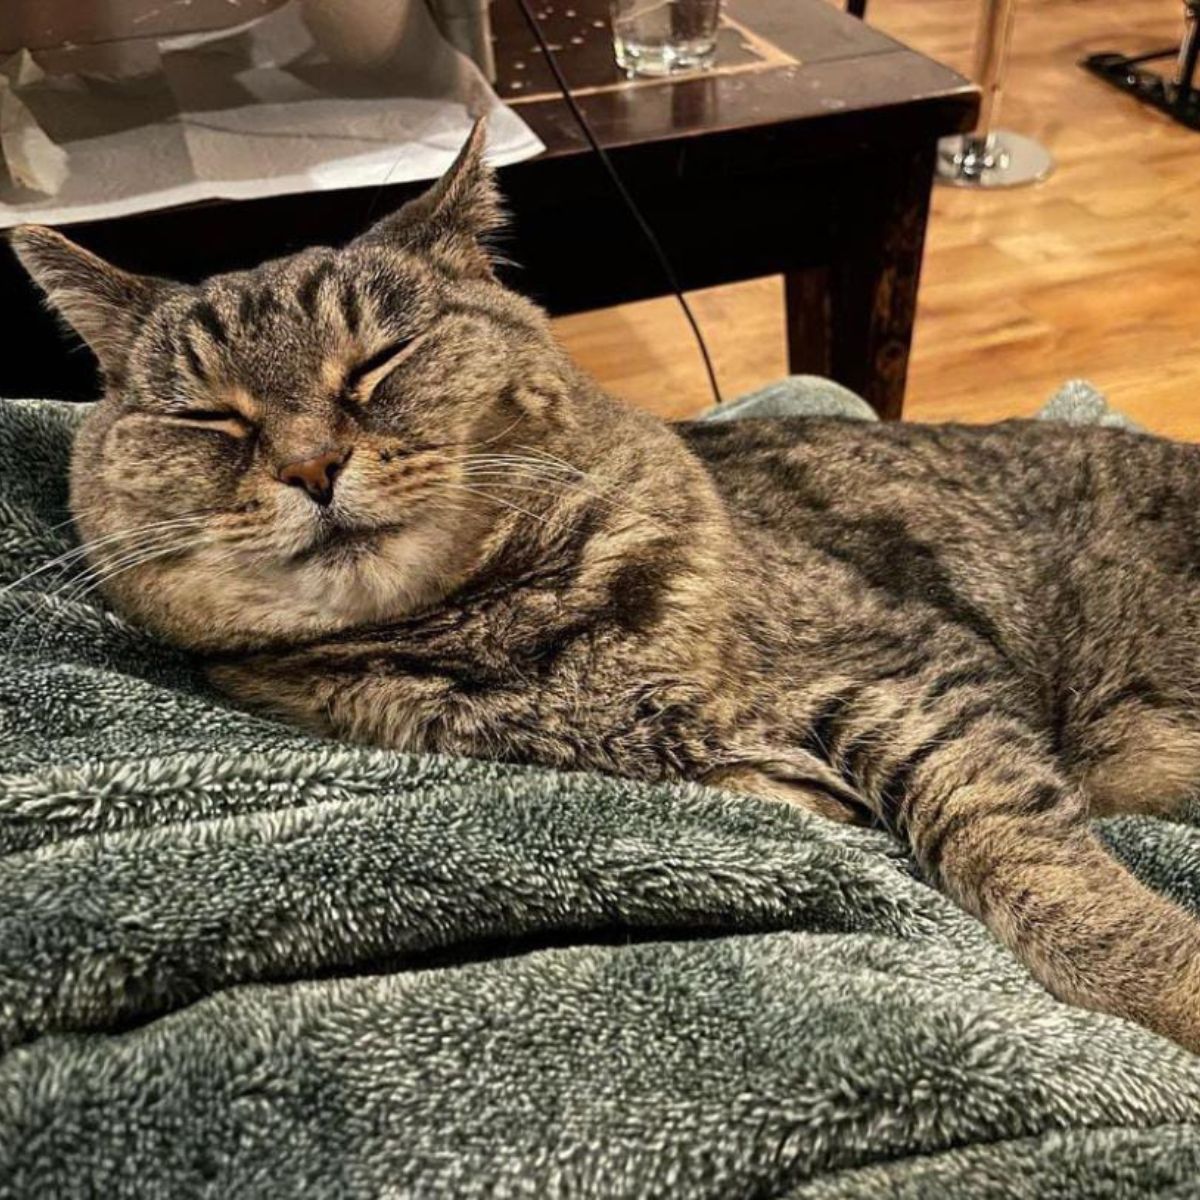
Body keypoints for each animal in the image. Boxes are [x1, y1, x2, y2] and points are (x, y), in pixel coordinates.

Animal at [14, 124, 1200, 1051]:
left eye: (382, 360)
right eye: (207, 417)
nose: (311, 466)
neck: (501, 634)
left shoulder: (914, 672)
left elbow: (1024, 851)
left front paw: (1161, 979)